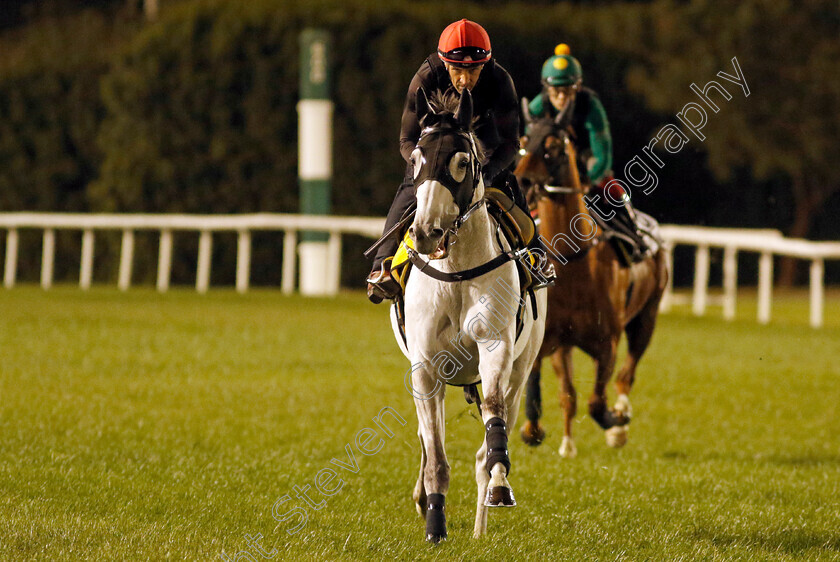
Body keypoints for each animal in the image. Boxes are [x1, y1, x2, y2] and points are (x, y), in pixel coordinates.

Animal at [390, 87, 548, 540]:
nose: (426, 232)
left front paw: (499, 486)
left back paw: (483, 518)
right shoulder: (425, 366)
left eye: (462, 162)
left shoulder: (496, 347)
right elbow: (435, 454)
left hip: (522, 367)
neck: (456, 271)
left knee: (493, 433)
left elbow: (493, 425)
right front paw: (434, 523)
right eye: (416, 159)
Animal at [512, 114, 668, 456]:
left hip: (646, 319)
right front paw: (540, 432)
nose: (523, 182)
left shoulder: (607, 343)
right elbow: (551, 397)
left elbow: (597, 402)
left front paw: (616, 422)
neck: (572, 262)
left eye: (554, 146)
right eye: (523, 141)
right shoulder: (551, 341)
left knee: (626, 375)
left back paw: (620, 420)